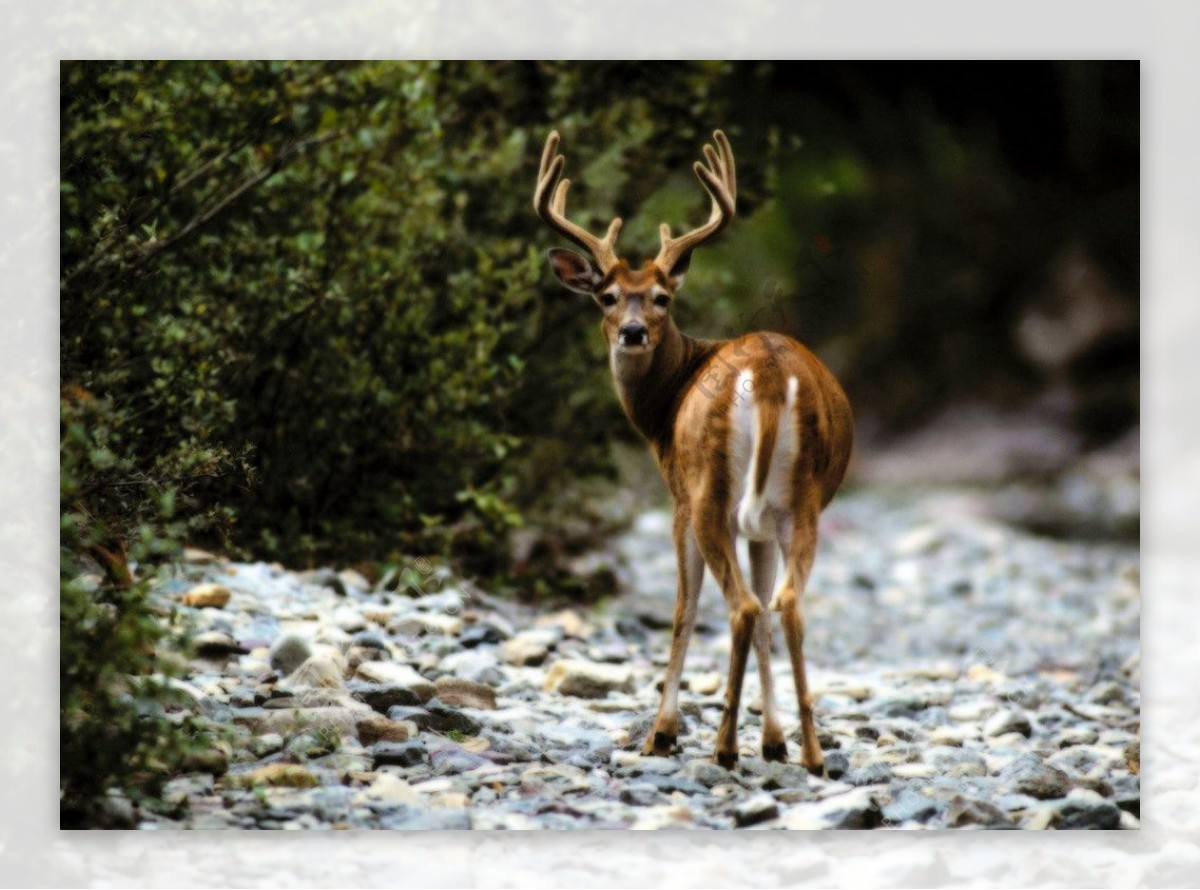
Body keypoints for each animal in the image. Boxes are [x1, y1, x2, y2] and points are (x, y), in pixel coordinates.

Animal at [535, 128, 854, 777]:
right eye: (607, 296)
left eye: (660, 297)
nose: (632, 332)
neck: (664, 406)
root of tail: (767, 374)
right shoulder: (759, 525)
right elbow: (764, 610)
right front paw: (774, 740)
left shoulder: (680, 498)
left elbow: (683, 610)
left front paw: (662, 733)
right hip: (799, 501)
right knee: (783, 603)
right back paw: (810, 755)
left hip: (712, 492)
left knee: (741, 608)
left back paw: (722, 746)